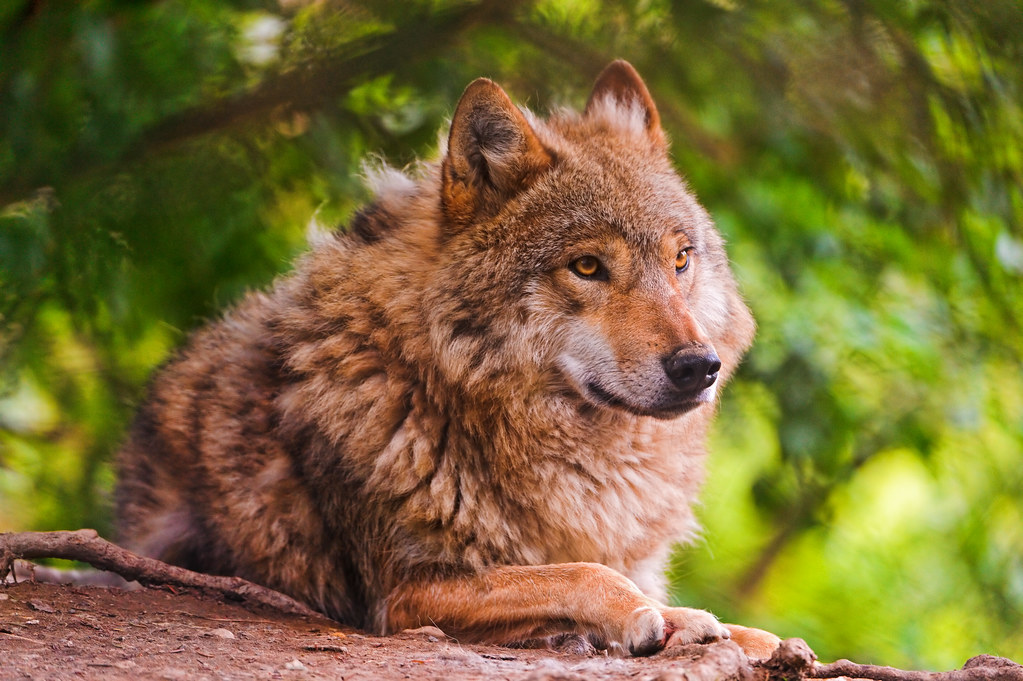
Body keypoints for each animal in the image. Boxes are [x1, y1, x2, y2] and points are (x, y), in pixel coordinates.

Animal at [116, 60, 780, 658]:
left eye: (680, 259)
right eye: (588, 266)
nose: (699, 366)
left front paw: (743, 635)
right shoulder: (405, 594)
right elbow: (580, 573)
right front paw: (656, 620)